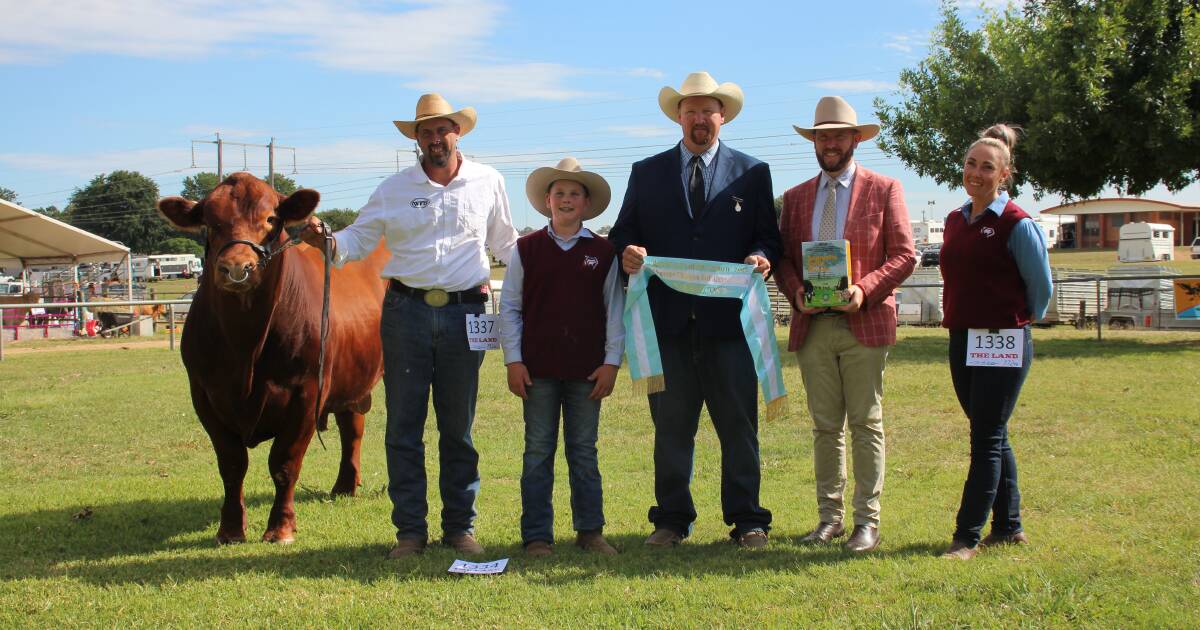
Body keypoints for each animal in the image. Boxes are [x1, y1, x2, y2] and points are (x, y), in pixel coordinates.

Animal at [157, 172, 386, 544]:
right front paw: (230, 528)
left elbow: (284, 462)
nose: (237, 267)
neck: (244, 348)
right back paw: (344, 486)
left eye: (269, 219)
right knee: (352, 425)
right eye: (210, 222)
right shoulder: (204, 395)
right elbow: (232, 464)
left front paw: (281, 527)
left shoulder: (306, 394)